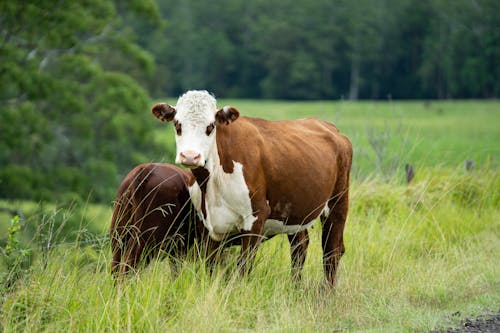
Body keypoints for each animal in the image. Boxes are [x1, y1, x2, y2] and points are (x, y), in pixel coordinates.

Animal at [151, 90, 352, 286]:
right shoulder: (206, 224)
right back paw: (295, 288)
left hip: (338, 203)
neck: (212, 181)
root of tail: (329, 127)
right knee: (300, 246)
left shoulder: (255, 216)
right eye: (177, 124)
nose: (190, 156)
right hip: (297, 209)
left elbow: (244, 267)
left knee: (332, 252)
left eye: (210, 126)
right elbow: (211, 266)